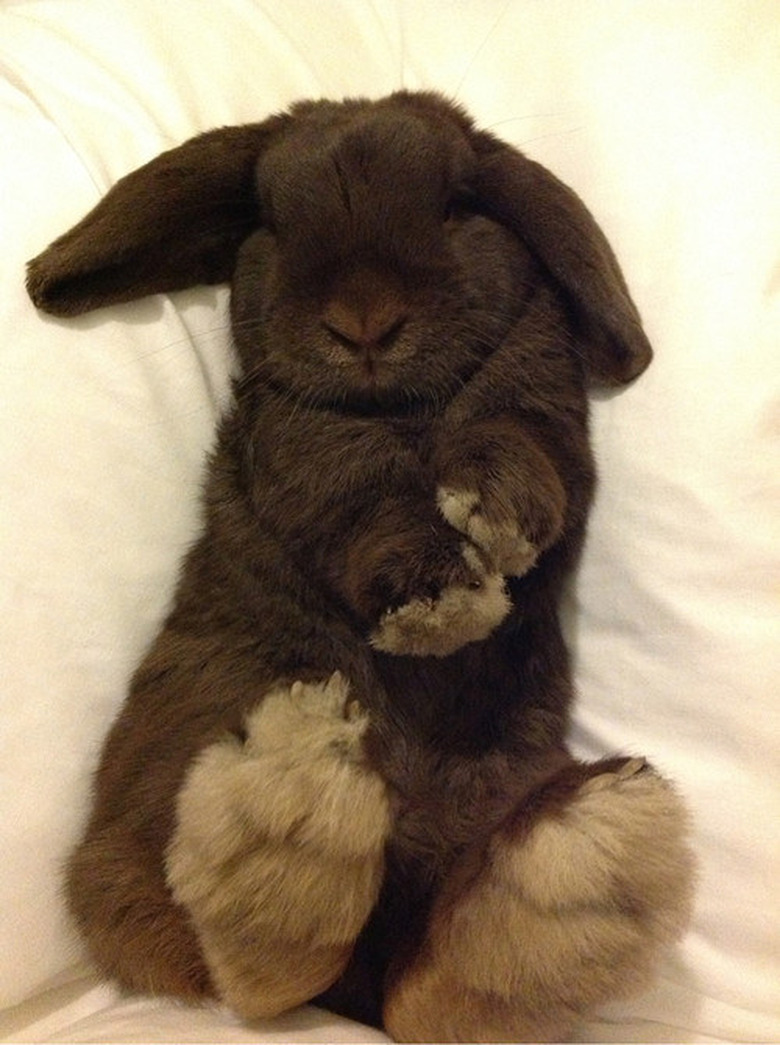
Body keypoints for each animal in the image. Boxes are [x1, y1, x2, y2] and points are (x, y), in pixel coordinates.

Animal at [25, 91, 694, 1045]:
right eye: (272, 220)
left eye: (455, 205)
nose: (365, 323)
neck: (403, 403)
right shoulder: (302, 442)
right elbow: (357, 492)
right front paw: (443, 598)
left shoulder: (548, 414)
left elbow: (525, 449)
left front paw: (492, 516)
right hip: (160, 789)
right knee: (240, 971)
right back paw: (291, 808)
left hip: (494, 796)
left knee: (427, 987)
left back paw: (573, 868)